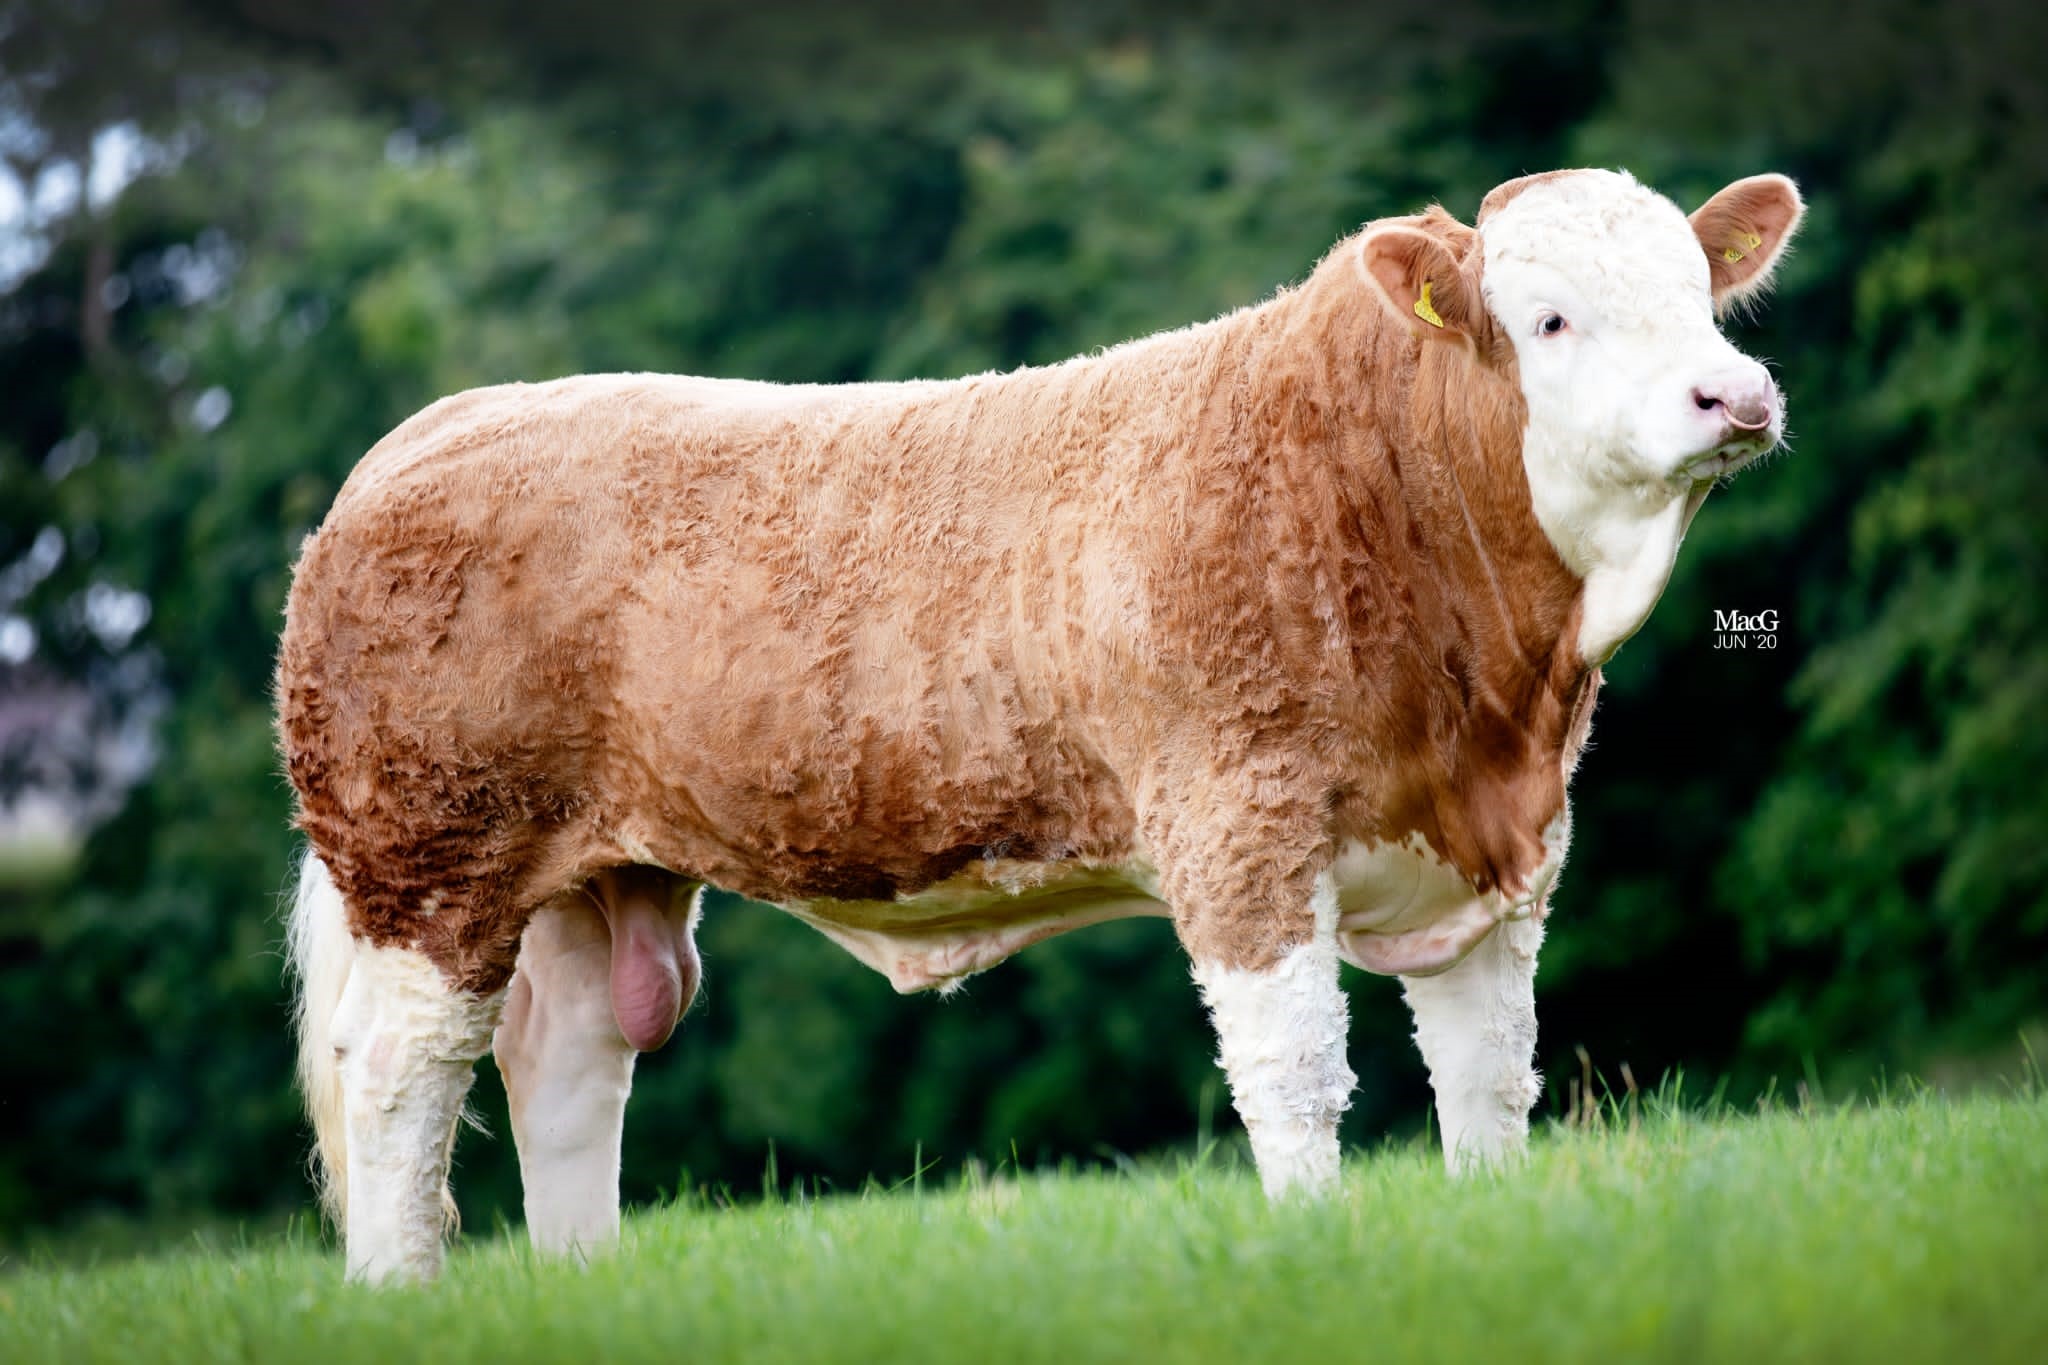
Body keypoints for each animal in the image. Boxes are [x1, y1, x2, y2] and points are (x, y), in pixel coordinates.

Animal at [279, 167, 1804, 1282]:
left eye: (1699, 295)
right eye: (1549, 321)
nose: (1733, 395)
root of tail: (421, 437)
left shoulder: (1498, 853)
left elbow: (1489, 1077)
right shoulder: (1240, 829)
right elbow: (1297, 1073)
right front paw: (1314, 1251)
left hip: (590, 879)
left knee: (569, 1070)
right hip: (431, 862)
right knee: (401, 1080)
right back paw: (402, 1295)